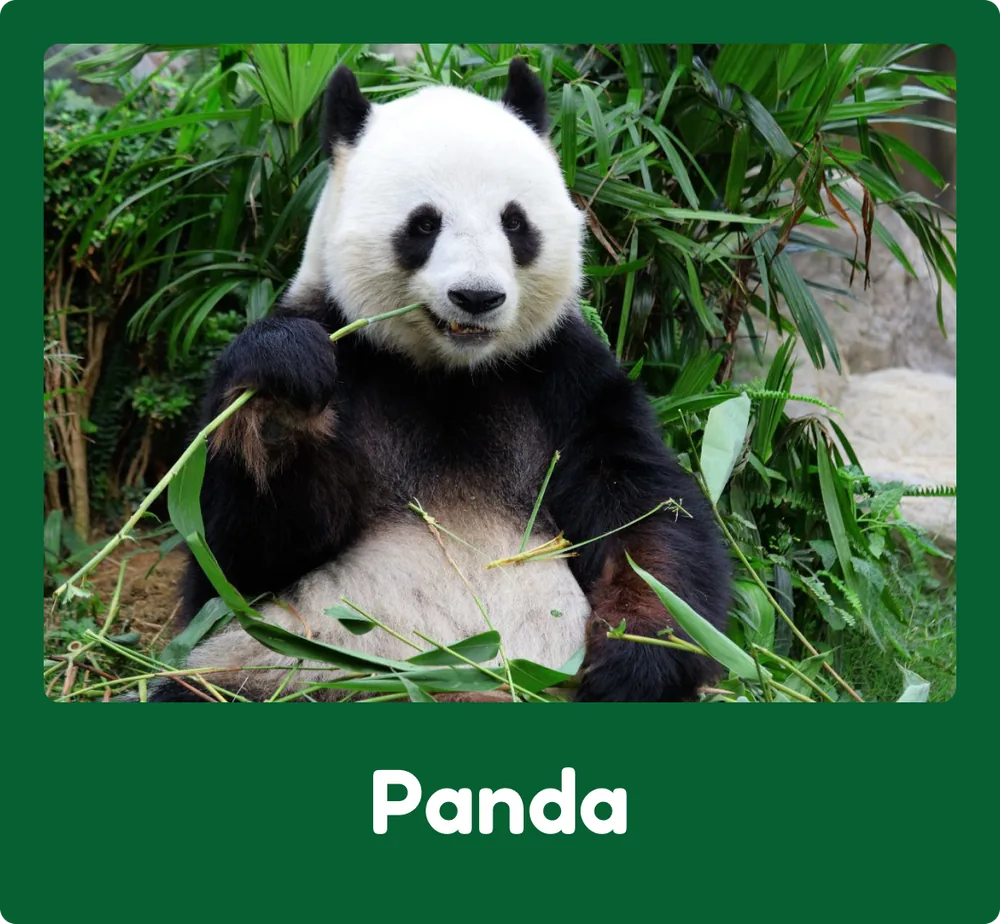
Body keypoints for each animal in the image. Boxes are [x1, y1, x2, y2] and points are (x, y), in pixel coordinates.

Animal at [144, 58, 732, 703]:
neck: (450, 373)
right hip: (285, 668)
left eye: (514, 222)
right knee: (208, 686)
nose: (477, 297)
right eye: (423, 224)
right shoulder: (347, 350)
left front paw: (636, 658)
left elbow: (645, 514)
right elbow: (235, 560)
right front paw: (281, 396)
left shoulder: (564, 376)